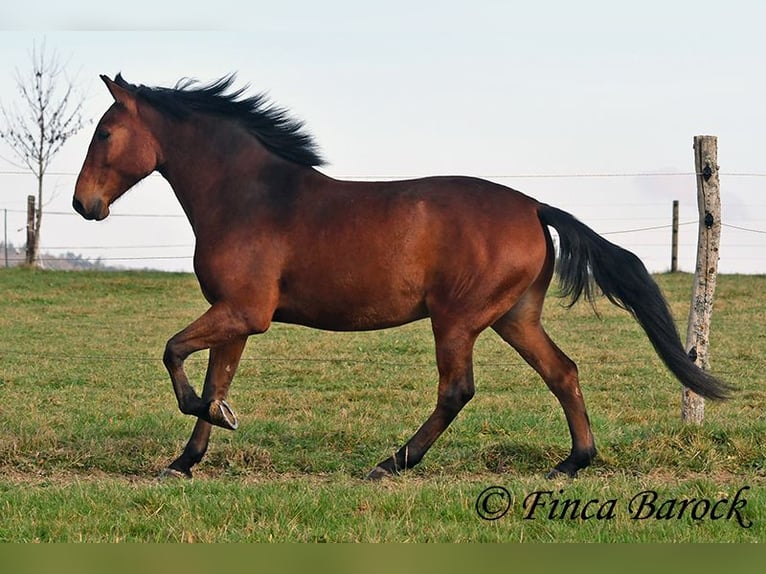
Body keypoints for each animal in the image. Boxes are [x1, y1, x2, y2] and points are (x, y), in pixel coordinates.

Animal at [72, 75, 732, 482]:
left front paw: (208, 424)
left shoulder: (243, 313)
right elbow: (213, 382)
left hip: (458, 319)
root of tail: (534, 207)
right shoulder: (234, 318)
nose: (84, 205)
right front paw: (187, 457)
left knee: (457, 390)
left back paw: (393, 462)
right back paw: (572, 463)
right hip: (514, 317)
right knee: (563, 372)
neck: (250, 198)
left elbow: (174, 354)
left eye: (104, 132)